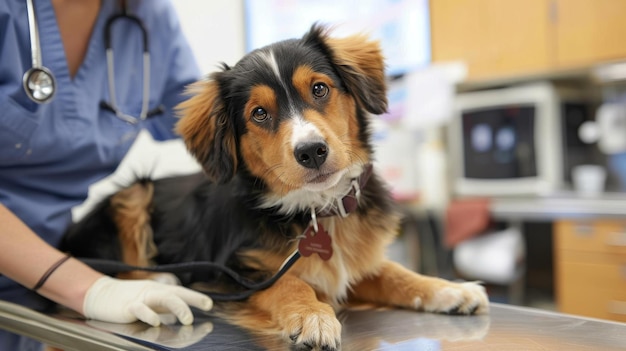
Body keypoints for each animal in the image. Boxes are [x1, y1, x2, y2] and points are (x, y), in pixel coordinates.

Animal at [61, 25, 486, 351]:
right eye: (260, 113)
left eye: (319, 89)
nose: (312, 151)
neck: (315, 209)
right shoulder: (228, 275)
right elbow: (288, 283)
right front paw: (313, 317)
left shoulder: (355, 266)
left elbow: (395, 272)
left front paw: (450, 290)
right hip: (131, 197)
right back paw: (159, 281)